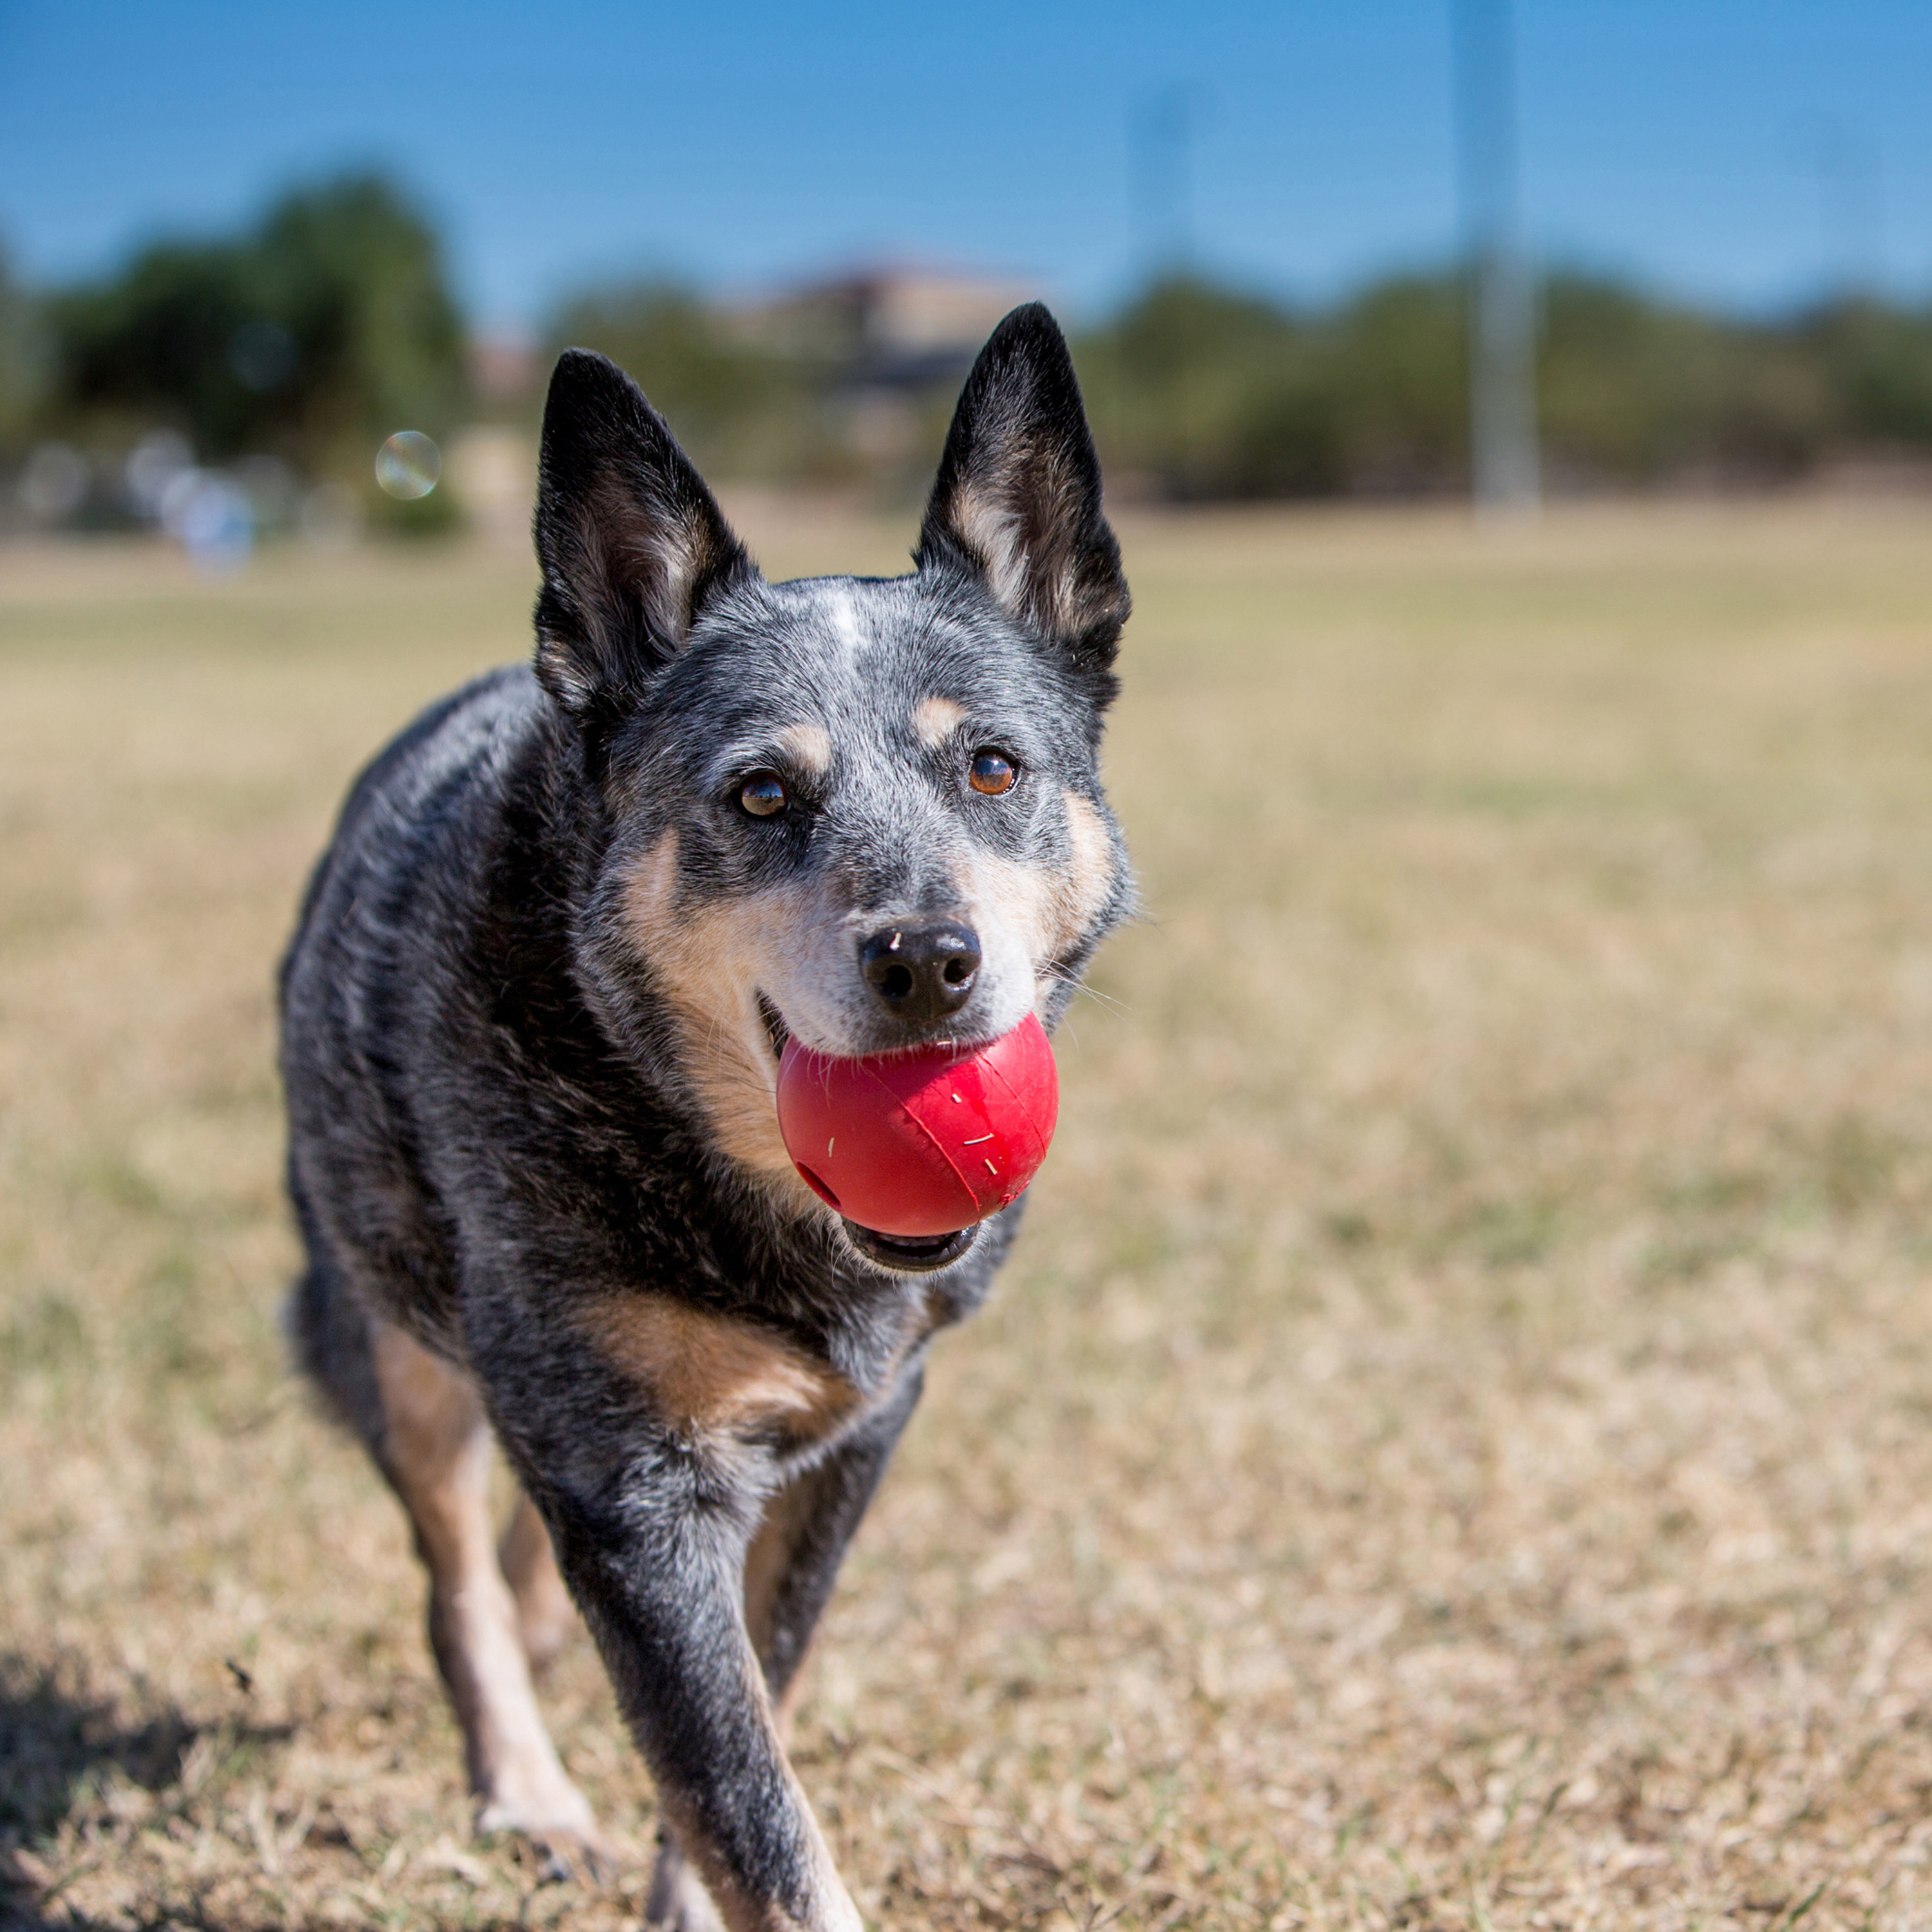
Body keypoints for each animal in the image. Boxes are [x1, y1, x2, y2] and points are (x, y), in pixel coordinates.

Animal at [274, 305, 1128, 1932]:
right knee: (454, 1574)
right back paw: (530, 1791)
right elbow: (747, 1796)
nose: (927, 959)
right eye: (761, 795)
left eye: (992, 766)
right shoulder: (632, 1490)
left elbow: (758, 1696)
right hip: (388, 1324)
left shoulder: (856, 1434)